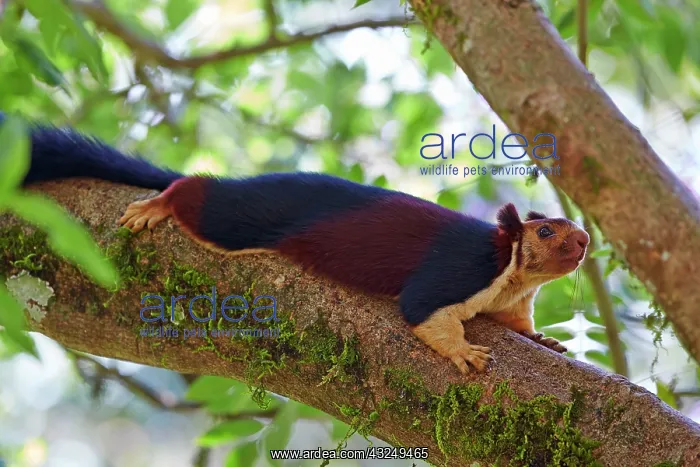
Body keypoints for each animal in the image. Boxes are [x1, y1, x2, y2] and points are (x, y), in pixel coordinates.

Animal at [12, 114, 589, 374]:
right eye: (545, 231)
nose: (584, 240)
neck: (512, 272)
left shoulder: (510, 302)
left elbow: (519, 327)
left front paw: (546, 342)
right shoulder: (463, 268)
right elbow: (422, 309)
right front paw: (465, 351)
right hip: (246, 217)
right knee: (205, 199)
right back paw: (164, 201)